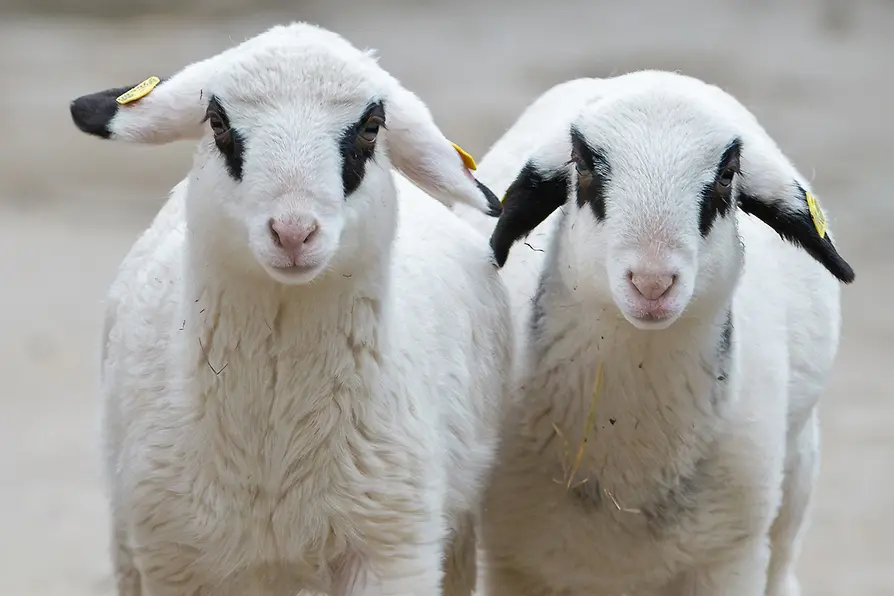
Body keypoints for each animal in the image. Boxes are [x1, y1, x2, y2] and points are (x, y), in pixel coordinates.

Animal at [68, 22, 513, 596]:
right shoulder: (177, 560)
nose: (294, 232)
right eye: (217, 122)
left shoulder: (391, 551)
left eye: (371, 127)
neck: (274, 445)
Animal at [453, 71, 855, 596]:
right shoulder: (514, 563)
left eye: (727, 175)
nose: (651, 282)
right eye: (583, 164)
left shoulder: (730, 559)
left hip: (796, 477)